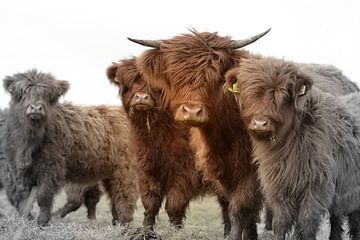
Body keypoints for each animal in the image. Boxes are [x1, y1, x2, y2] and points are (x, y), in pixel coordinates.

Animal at [2, 70, 138, 227]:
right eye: (22, 91)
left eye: (48, 95)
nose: (36, 108)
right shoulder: (20, 169)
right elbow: (24, 197)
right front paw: (26, 220)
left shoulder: (51, 167)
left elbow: (43, 195)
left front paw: (42, 222)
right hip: (109, 171)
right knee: (113, 194)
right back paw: (116, 221)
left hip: (125, 168)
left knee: (124, 193)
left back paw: (125, 223)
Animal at [107, 59, 231, 234]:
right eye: (127, 82)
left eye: (154, 84)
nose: (141, 97)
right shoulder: (147, 170)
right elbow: (150, 204)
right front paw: (146, 231)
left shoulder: (183, 172)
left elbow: (174, 206)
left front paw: (176, 233)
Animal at [225, 57, 360, 238]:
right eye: (248, 92)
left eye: (283, 94)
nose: (260, 123)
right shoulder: (280, 186)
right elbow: (281, 223)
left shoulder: (316, 187)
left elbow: (306, 224)